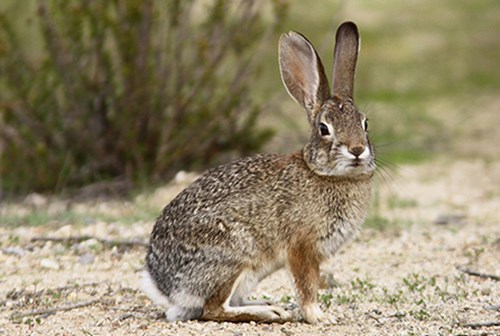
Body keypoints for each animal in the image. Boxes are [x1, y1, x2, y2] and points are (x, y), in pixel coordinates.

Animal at [141, 20, 376, 322]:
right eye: (324, 128)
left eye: (365, 123)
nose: (357, 149)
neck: (324, 173)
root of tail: (163, 286)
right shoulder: (301, 247)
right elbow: (306, 286)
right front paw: (319, 316)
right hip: (233, 256)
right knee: (213, 309)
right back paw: (270, 312)